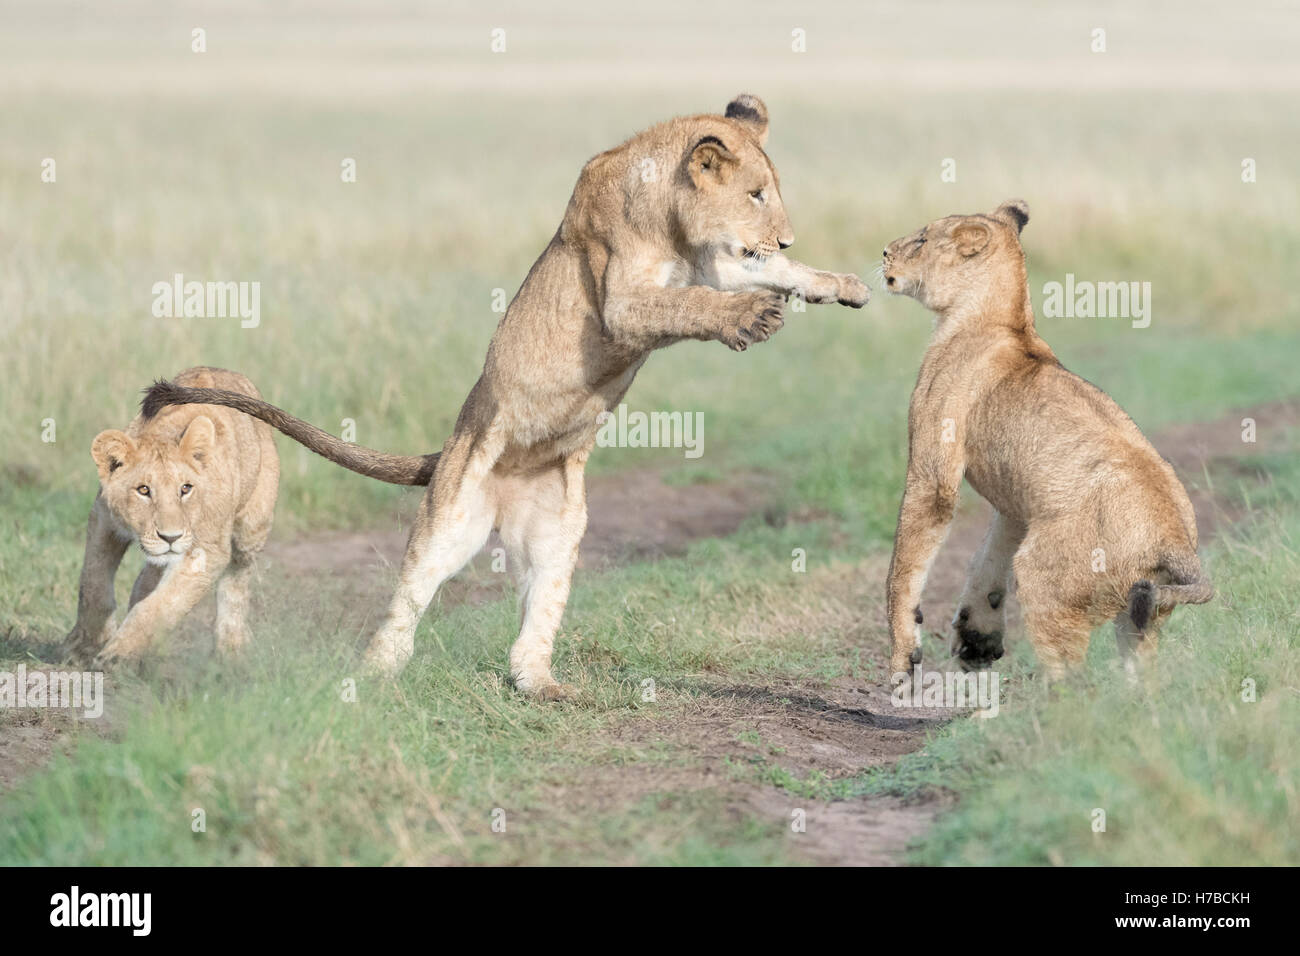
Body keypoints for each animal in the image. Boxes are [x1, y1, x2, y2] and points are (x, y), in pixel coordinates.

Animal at [62, 367, 279, 665]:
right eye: (143, 490)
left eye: (185, 489)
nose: (170, 537)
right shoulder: (103, 520)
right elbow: (92, 584)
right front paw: (84, 647)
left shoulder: (206, 553)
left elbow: (160, 607)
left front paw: (119, 654)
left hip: (252, 526)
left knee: (237, 579)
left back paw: (231, 647)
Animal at [138, 94, 869, 699]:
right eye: (756, 194)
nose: (786, 234)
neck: (670, 218)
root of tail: (458, 457)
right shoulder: (625, 301)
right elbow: (690, 303)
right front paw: (752, 318)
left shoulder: (716, 264)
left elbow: (774, 274)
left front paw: (840, 284)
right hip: (450, 519)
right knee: (409, 596)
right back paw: (374, 675)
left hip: (559, 535)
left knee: (538, 611)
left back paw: (540, 683)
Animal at [880, 199, 1211, 682]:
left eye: (922, 239)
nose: (884, 253)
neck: (1004, 319)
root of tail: (1175, 541)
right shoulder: (1018, 503)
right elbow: (987, 560)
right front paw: (977, 639)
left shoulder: (933, 471)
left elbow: (904, 565)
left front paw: (905, 656)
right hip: (1141, 614)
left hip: (1046, 583)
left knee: (1076, 687)